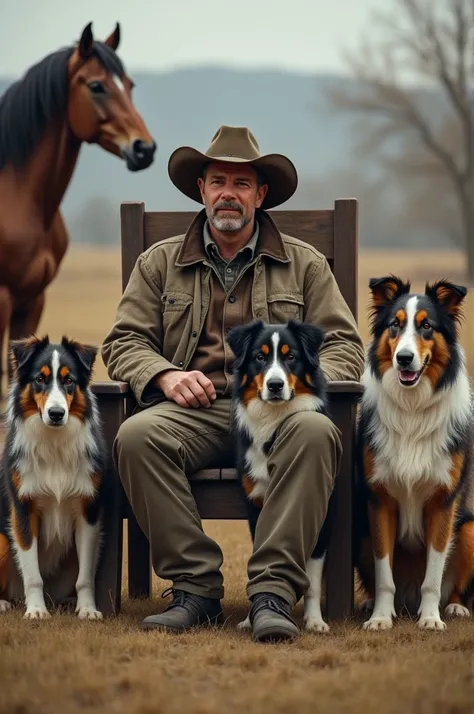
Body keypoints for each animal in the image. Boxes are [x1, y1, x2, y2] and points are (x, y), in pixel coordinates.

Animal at [0, 22, 156, 398]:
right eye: (97, 85)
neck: (22, 199)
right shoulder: (2, 298)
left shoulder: (31, 300)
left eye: (129, 85)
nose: (144, 148)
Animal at [0, 334, 105, 616]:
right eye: (40, 379)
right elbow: (33, 573)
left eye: (69, 381)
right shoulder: (23, 509)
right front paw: (36, 610)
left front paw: (87, 609)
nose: (56, 414)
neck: (54, 441)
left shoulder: (87, 511)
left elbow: (85, 576)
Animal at [227, 318, 334, 628]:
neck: (275, 421)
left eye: (291, 356)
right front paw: (251, 618)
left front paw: (314, 620)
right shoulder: (257, 505)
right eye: (259, 357)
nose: (275, 385)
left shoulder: (322, 512)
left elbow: (313, 579)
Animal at [356, 276, 474, 628]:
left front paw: (431, 618)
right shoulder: (380, 501)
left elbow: (433, 576)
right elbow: (384, 574)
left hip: (470, 528)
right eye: (395, 325)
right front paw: (381, 618)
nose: (404, 358)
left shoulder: (442, 502)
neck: (412, 407)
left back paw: (454, 607)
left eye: (426, 327)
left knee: (452, 588)